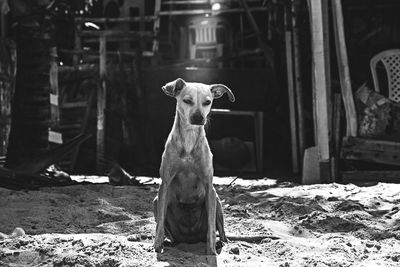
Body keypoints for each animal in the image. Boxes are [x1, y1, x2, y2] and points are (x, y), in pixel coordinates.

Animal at [153, 78, 234, 255]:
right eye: (187, 101)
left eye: (207, 102)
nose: (198, 117)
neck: (189, 137)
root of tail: (190, 240)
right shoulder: (165, 184)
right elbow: (160, 223)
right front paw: (157, 246)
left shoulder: (209, 187)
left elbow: (211, 228)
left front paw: (211, 250)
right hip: (156, 202)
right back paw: (169, 243)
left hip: (217, 201)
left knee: (222, 232)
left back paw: (222, 244)